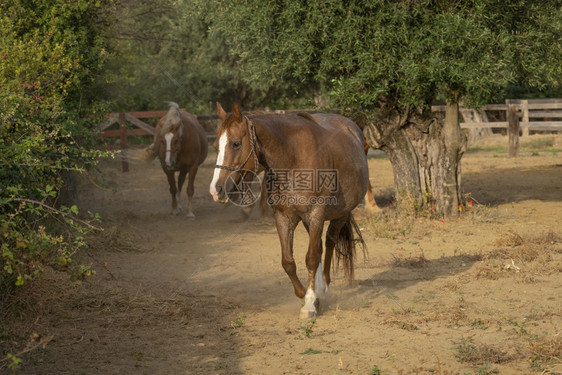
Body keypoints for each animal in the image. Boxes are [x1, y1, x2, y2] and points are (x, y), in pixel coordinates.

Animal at [208, 103, 366, 320]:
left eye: (236, 144)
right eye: (216, 146)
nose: (216, 190)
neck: (293, 159)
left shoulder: (316, 214)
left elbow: (311, 259)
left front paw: (310, 303)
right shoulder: (283, 217)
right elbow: (288, 262)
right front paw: (305, 296)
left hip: (339, 215)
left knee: (329, 243)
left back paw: (324, 289)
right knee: (319, 247)